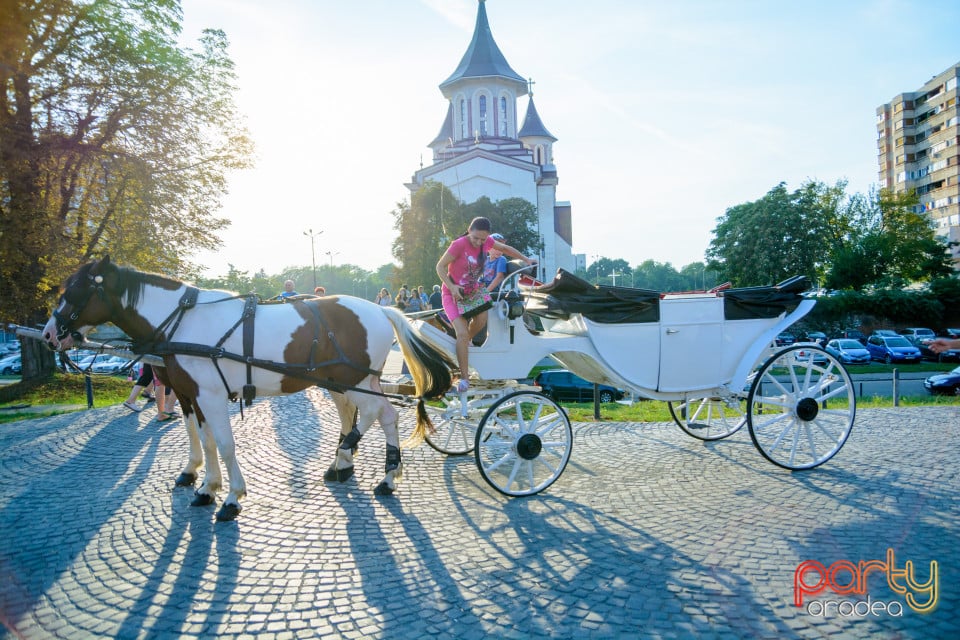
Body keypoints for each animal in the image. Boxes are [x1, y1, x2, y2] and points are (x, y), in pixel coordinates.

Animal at [41, 258, 454, 524]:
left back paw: (358, 460)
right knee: (378, 415)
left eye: (75, 289)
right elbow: (205, 440)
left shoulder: (208, 395)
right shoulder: (193, 395)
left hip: (353, 381)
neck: (183, 323)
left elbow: (224, 444)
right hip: (347, 381)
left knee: (376, 413)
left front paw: (230, 496)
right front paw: (206, 487)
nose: (48, 333)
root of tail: (382, 310)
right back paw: (372, 471)